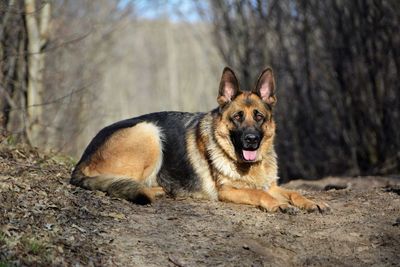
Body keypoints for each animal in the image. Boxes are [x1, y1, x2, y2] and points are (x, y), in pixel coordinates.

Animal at [71, 67, 328, 214]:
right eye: (237, 117)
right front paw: (277, 204)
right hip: (149, 131)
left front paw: (308, 201)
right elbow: (259, 194)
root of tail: (80, 163)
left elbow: (292, 192)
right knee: (125, 182)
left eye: (259, 117)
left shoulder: (272, 185)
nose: (251, 140)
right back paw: (158, 190)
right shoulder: (228, 191)